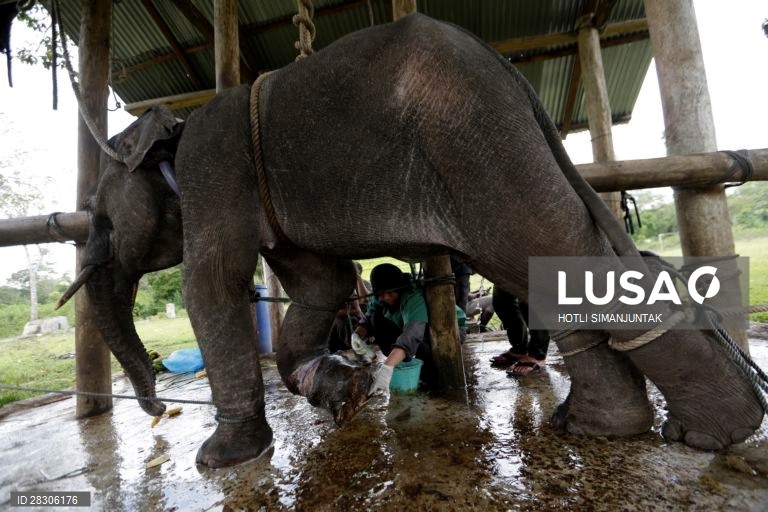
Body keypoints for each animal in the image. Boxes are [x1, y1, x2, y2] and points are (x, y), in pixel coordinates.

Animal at [58, 13, 763, 468]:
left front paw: (221, 460)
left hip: (476, 148)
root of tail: (510, 75)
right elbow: (322, 281)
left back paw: (710, 435)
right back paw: (604, 429)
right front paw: (340, 392)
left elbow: (210, 286)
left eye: (97, 217)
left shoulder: (216, 175)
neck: (169, 133)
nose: (158, 409)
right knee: (552, 266)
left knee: (553, 258)